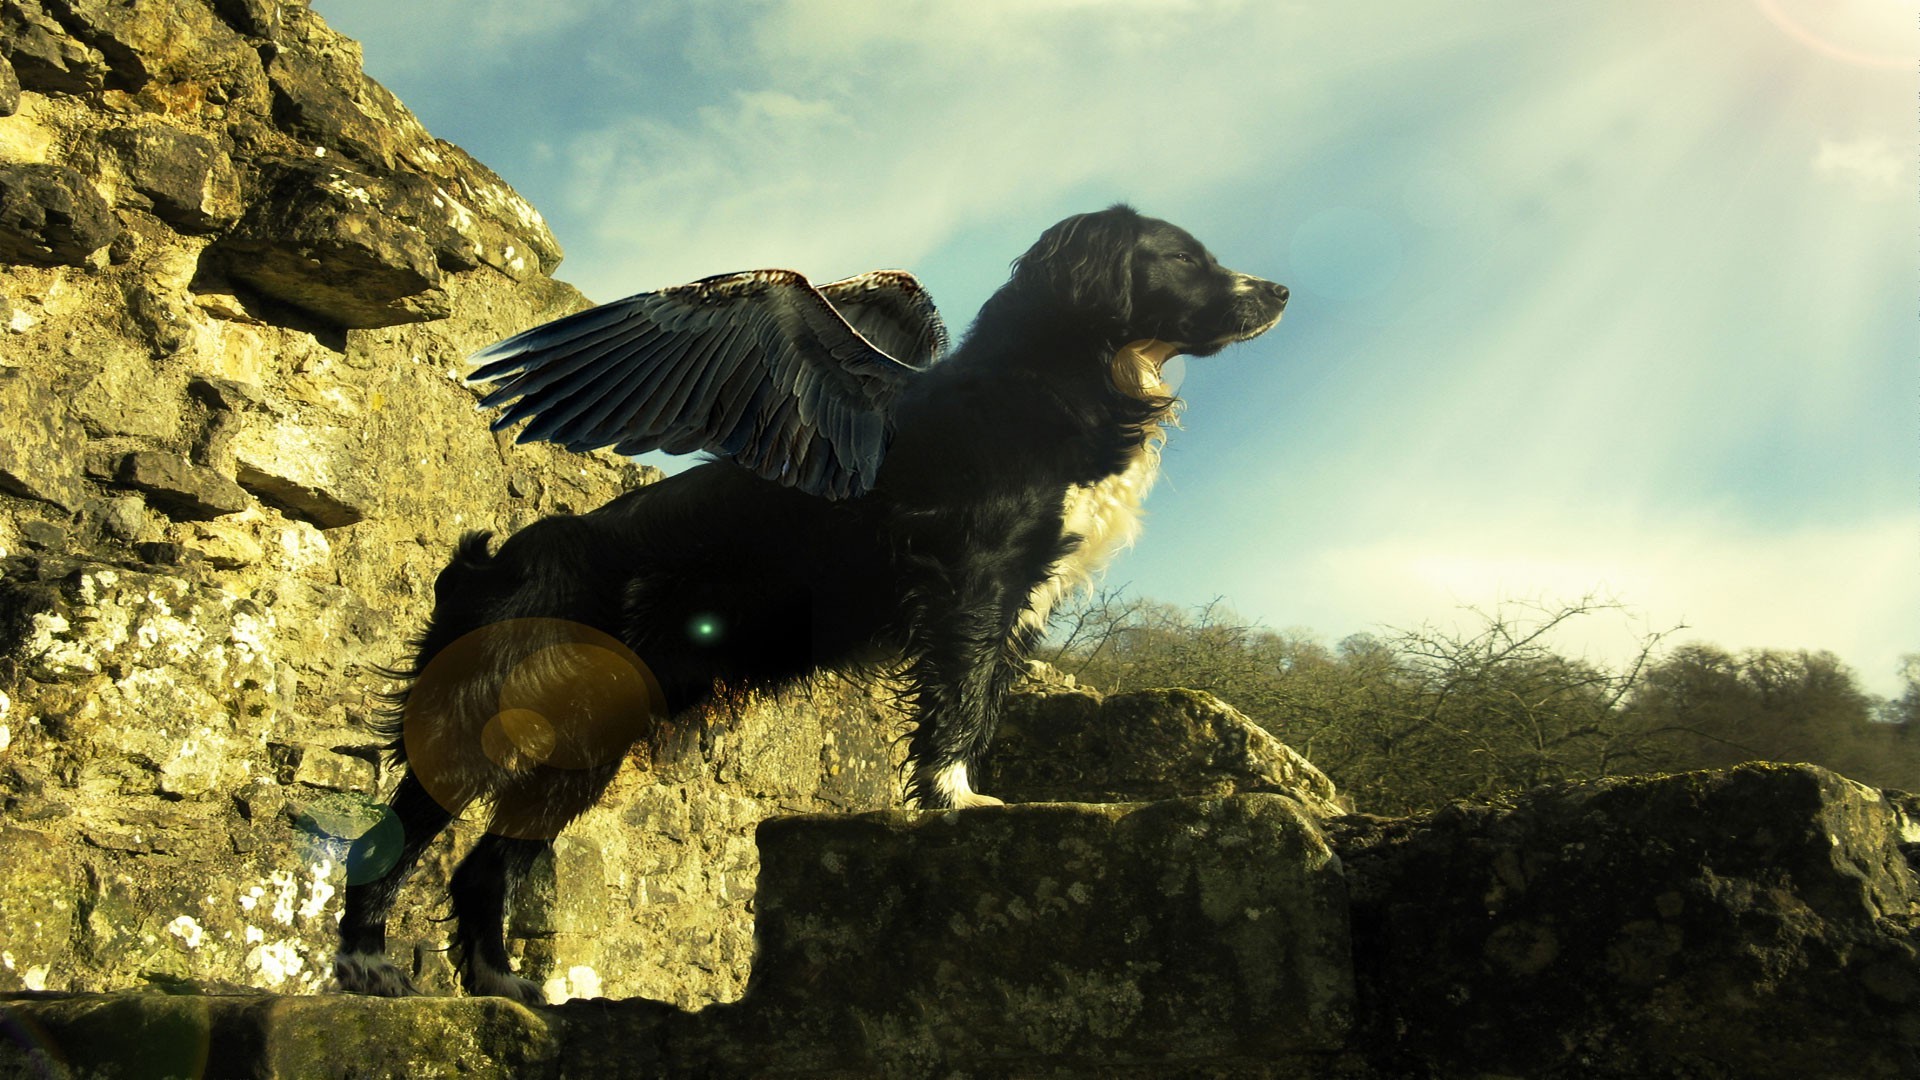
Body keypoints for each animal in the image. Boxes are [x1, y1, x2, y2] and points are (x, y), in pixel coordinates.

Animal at [334, 203, 1290, 999]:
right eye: (1184, 258)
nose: (1280, 289)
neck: (1059, 376)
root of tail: (496, 557)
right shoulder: (974, 578)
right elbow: (958, 699)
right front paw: (955, 800)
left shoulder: (1024, 597)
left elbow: (983, 701)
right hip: (491, 705)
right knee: (398, 831)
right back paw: (367, 964)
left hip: (589, 740)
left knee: (483, 864)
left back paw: (503, 985)